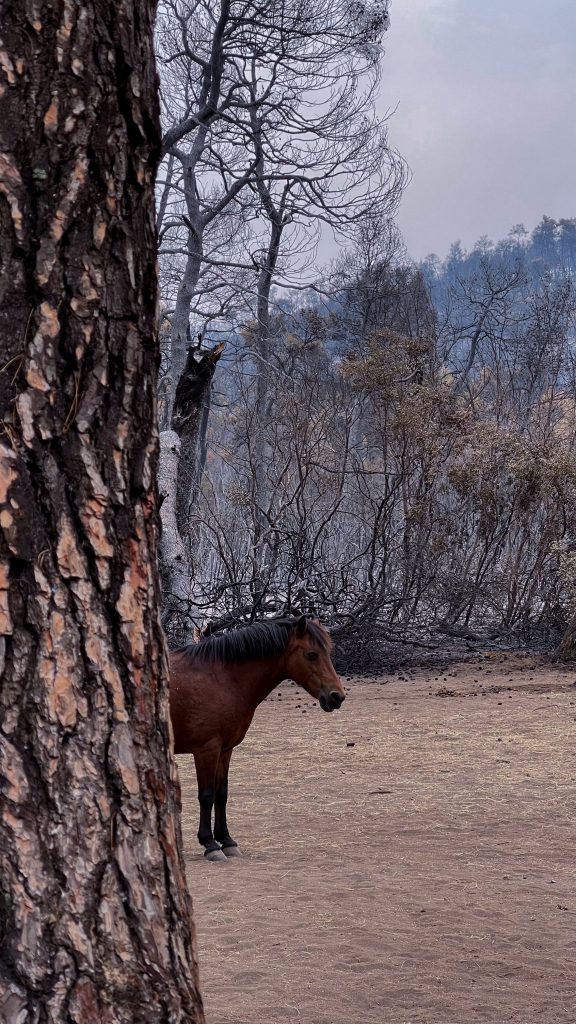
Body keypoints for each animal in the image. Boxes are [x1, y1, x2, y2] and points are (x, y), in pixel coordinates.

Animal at [169, 615, 346, 860]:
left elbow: (221, 794)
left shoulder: (225, 750)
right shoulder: (206, 750)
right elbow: (206, 795)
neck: (221, 678)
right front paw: (210, 844)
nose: (337, 696)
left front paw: (227, 840)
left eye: (328, 651)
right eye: (312, 654)